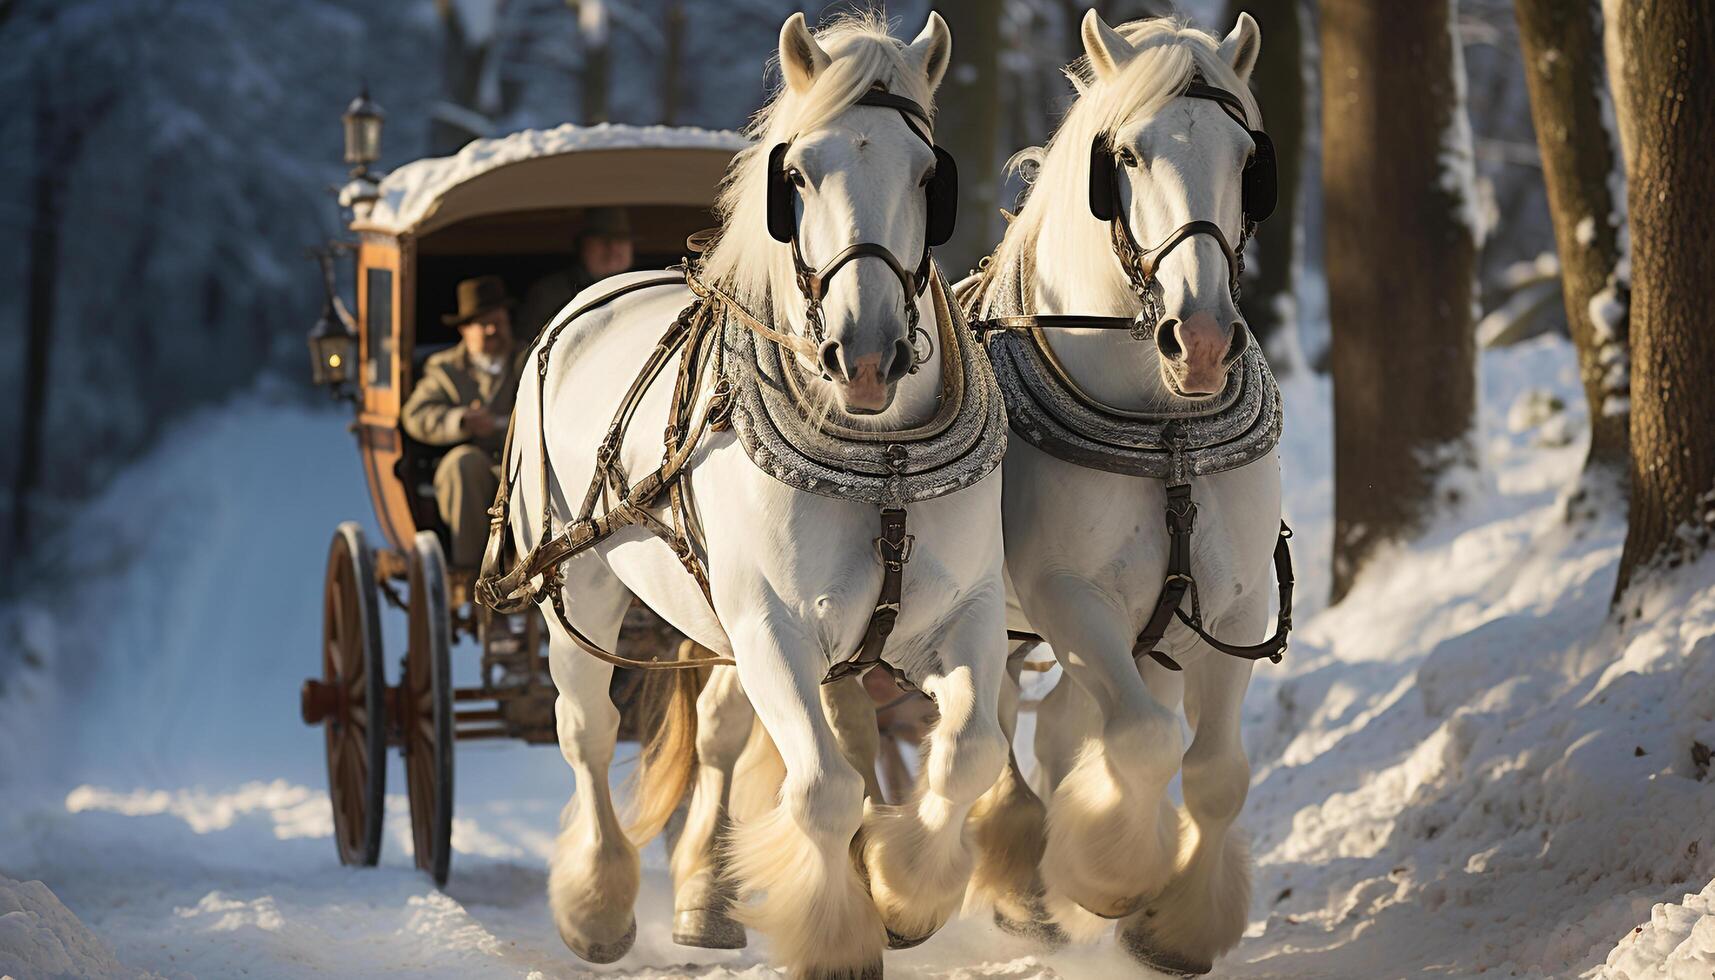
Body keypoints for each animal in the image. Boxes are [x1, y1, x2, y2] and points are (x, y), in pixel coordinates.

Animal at [507, 11, 1008, 974]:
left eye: (928, 174)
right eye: (797, 175)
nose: (866, 357)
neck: (882, 459)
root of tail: (593, 293)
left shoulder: (962, 612)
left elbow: (968, 752)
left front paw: (905, 892)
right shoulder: (773, 623)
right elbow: (822, 788)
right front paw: (838, 937)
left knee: (717, 734)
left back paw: (706, 895)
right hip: (579, 585)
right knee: (586, 729)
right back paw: (596, 904)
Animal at [967, 11, 1289, 974]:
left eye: (1245, 157)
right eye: (1129, 158)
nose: (1205, 340)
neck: (1165, 428)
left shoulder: (1233, 604)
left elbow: (1217, 773)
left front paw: (1174, 926)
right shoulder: (1067, 596)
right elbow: (1143, 743)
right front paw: (1110, 878)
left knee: (1055, 725)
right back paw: (1014, 876)